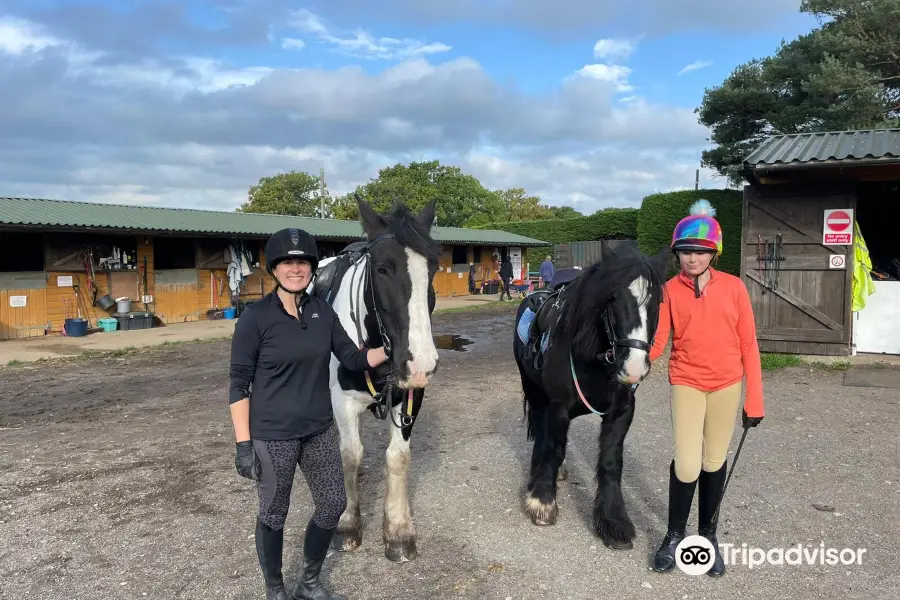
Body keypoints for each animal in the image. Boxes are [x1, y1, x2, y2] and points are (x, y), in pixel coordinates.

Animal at [312, 197, 442, 564]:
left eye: (433, 269)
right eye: (383, 269)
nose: (421, 362)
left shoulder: (409, 396)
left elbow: (397, 457)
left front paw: (398, 530)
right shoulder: (341, 401)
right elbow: (349, 454)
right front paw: (347, 522)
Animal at [512, 243, 668, 548]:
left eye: (656, 302)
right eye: (612, 299)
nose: (633, 367)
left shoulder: (621, 412)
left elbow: (610, 462)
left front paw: (613, 521)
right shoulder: (558, 408)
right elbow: (552, 447)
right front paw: (542, 501)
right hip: (535, 392)